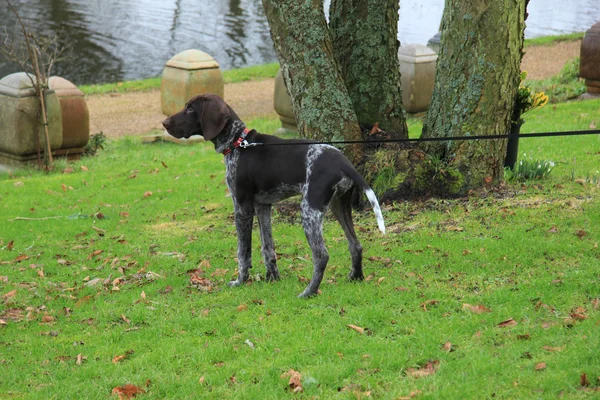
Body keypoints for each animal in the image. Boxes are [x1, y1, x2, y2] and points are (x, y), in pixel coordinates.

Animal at [162, 94, 384, 296]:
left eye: (191, 109)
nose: (164, 123)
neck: (238, 142)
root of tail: (344, 162)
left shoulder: (242, 208)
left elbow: (243, 252)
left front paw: (240, 281)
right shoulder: (263, 207)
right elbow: (268, 247)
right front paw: (272, 278)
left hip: (309, 212)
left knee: (322, 256)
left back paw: (309, 292)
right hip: (339, 205)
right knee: (355, 245)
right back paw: (355, 278)